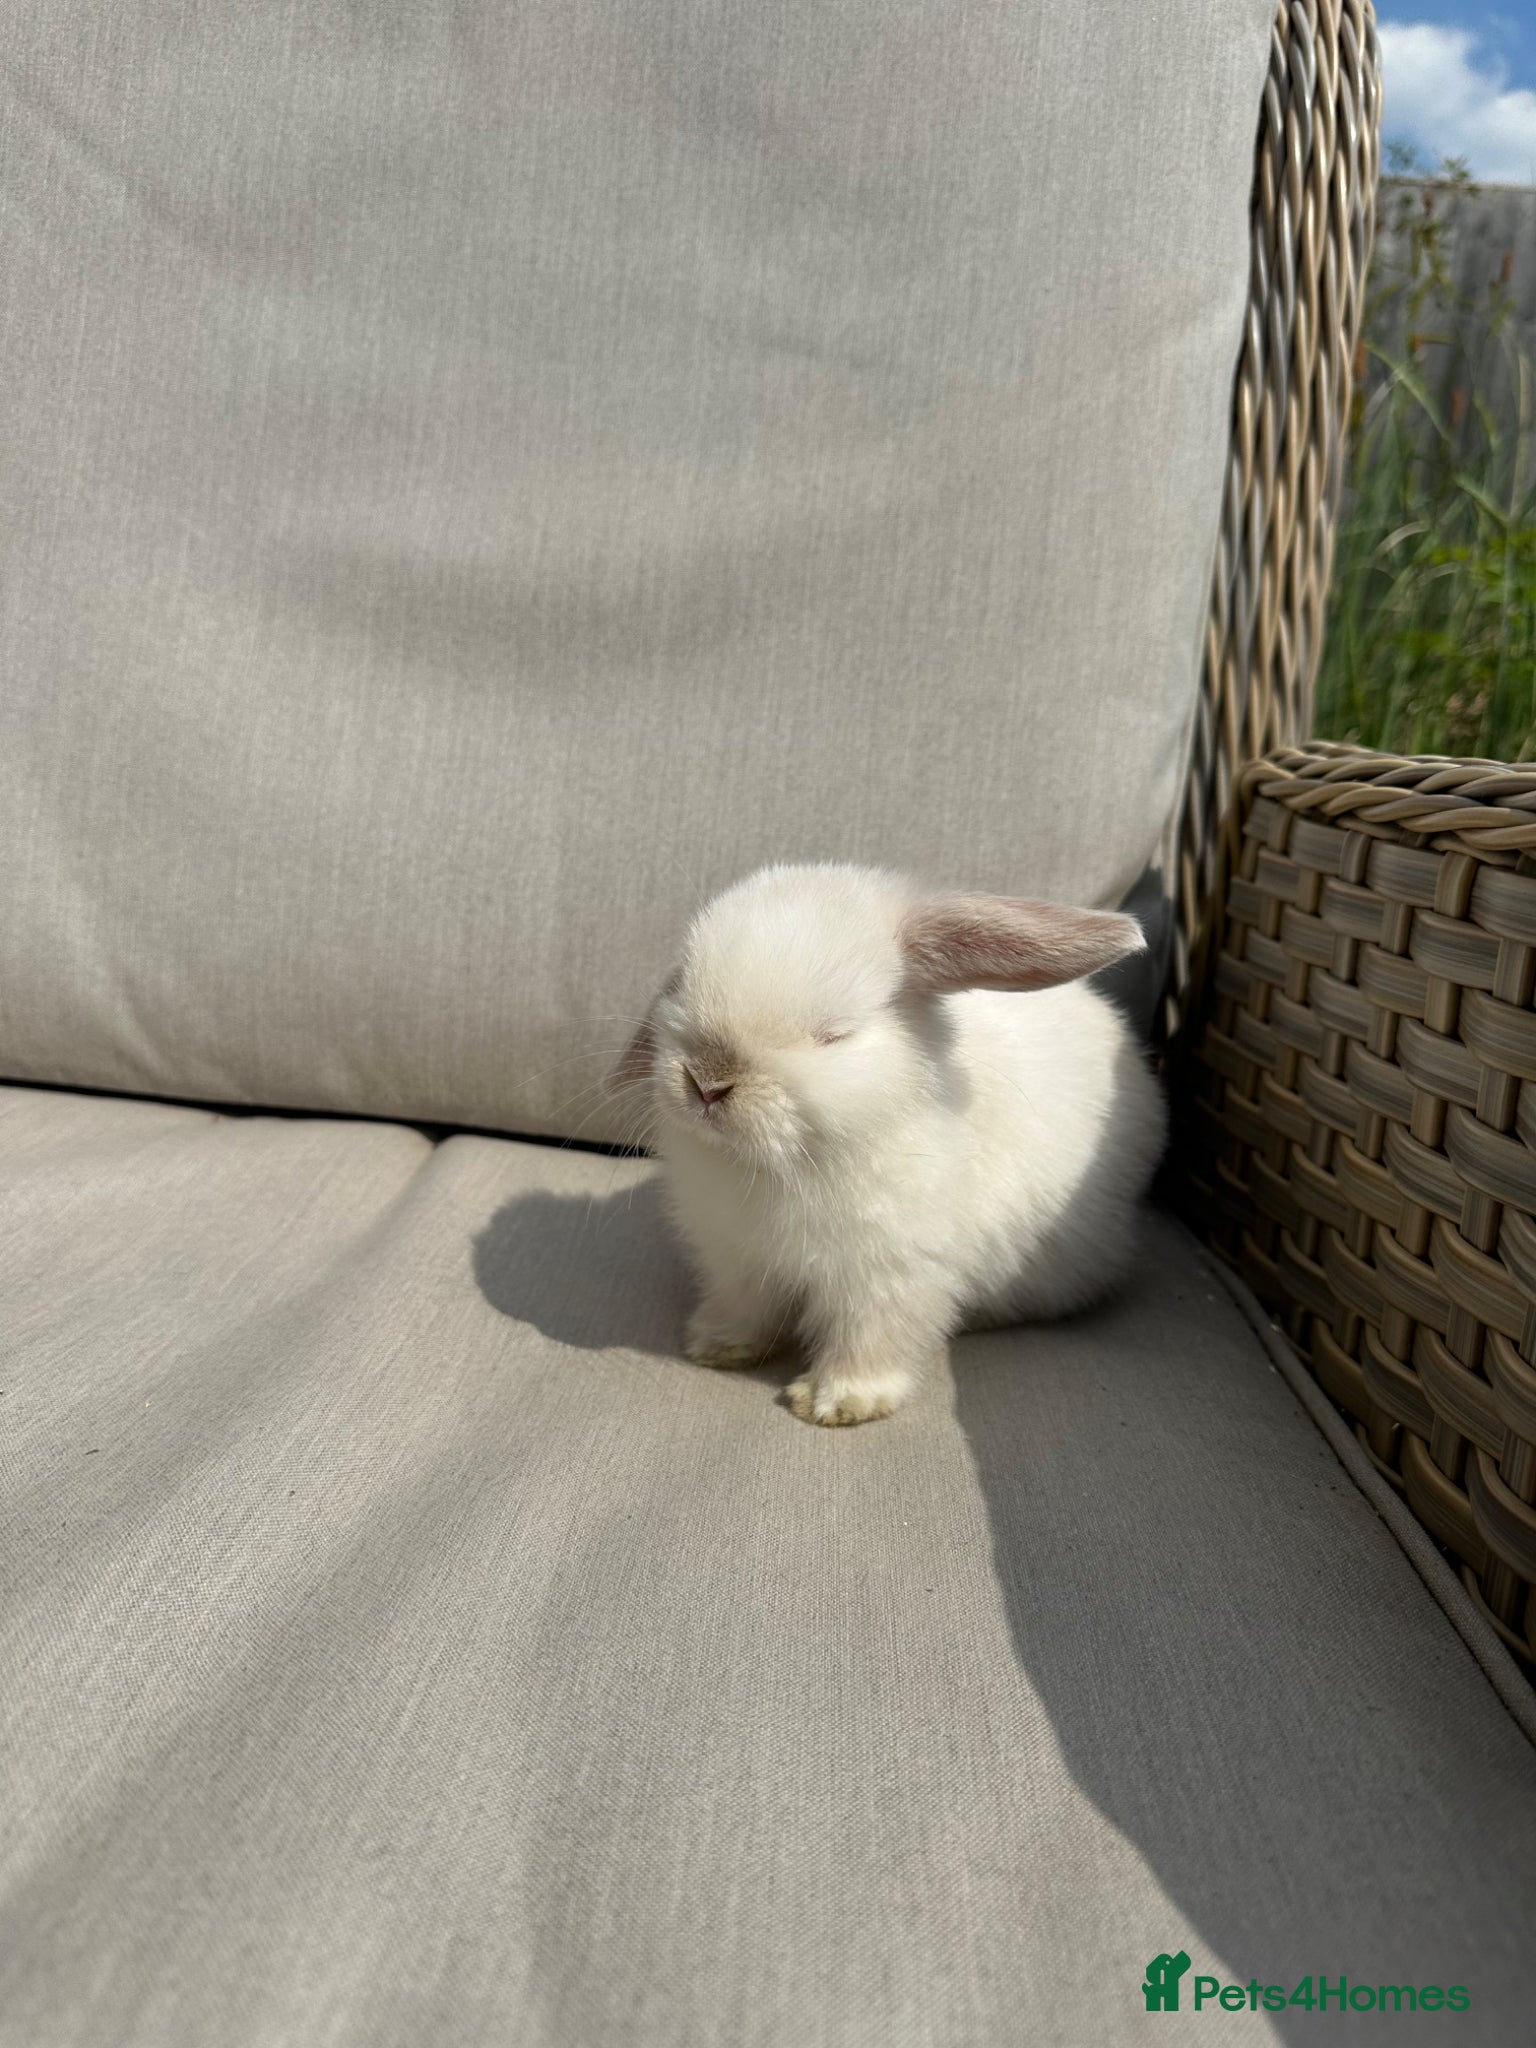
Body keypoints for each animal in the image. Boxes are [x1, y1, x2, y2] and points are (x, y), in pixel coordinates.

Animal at [609, 862, 1166, 1427]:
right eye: (680, 988)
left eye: (834, 1035)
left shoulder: (889, 1276)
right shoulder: (738, 1261)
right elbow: (743, 1309)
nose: (706, 1082)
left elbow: (870, 1341)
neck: (779, 1163)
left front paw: (837, 1403)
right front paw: (715, 1347)